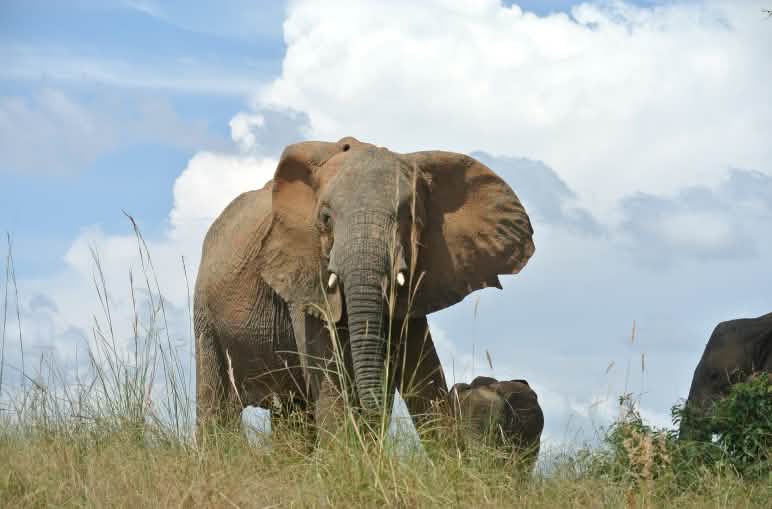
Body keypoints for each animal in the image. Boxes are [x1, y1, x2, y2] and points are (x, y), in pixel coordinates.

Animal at [193, 136, 535, 442]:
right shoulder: (304, 277)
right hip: (204, 313)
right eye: (325, 219)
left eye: (408, 217)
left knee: (292, 413)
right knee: (217, 402)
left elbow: (421, 374)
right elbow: (331, 378)